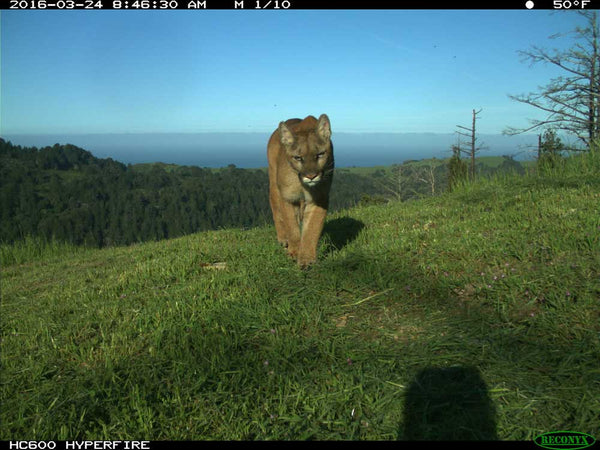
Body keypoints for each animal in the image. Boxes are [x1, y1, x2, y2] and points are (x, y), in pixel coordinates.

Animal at [266, 115, 332, 268]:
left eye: (320, 154)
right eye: (298, 157)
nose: (311, 176)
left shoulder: (319, 198)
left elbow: (312, 228)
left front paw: (306, 259)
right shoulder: (288, 198)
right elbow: (292, 226)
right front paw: (295, 252)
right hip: (274, 183)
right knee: (275, 205)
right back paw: (283, 239)